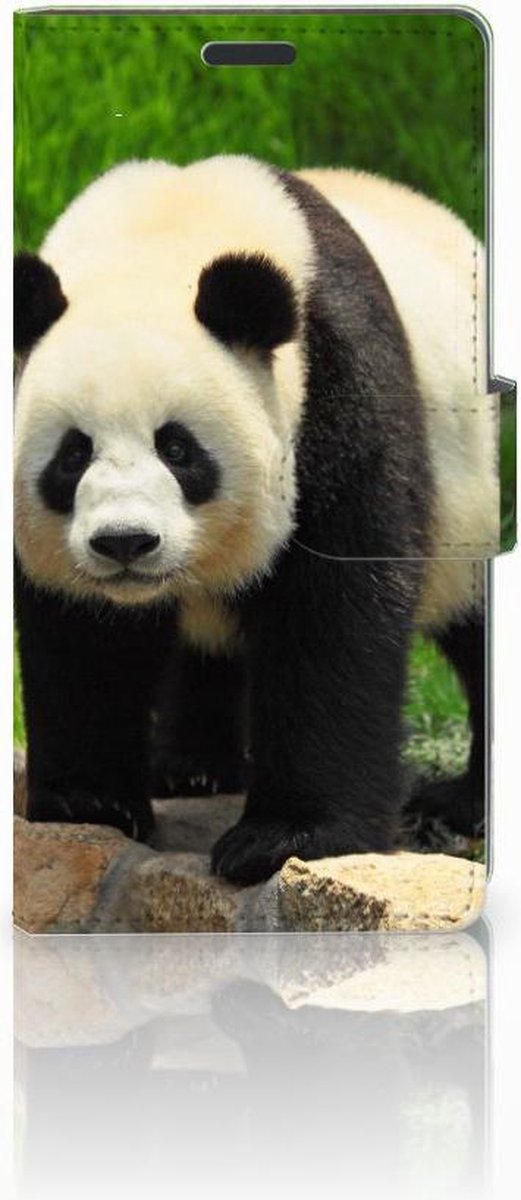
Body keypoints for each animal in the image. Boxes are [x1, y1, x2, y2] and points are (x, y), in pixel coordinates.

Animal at [14, 155, 497, 884]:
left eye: (178, 448)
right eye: (73, 454)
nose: (125, 543)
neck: (161, 235)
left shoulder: (335, 386)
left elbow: (334, 610)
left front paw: (286, 837)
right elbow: (82, 635)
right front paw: (88, 802)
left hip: (471, 490)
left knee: (472, 617)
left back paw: (460, 804)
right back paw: (190, 768)